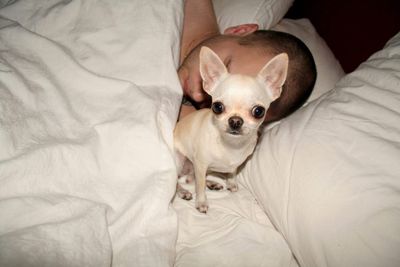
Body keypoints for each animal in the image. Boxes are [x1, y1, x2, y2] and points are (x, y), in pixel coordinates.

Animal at [175, 46, 288, 214]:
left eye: (258, 111)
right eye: (217, 107)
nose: (235, 120)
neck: (231, 145)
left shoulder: (233, 164)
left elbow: (232, 171)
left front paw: (231, 182)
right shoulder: (200, 164)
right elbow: (200, 187)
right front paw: (201, 202)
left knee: (193, 178)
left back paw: (212, 183)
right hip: (180, 159)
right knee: (182, 181)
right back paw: (183, 191)